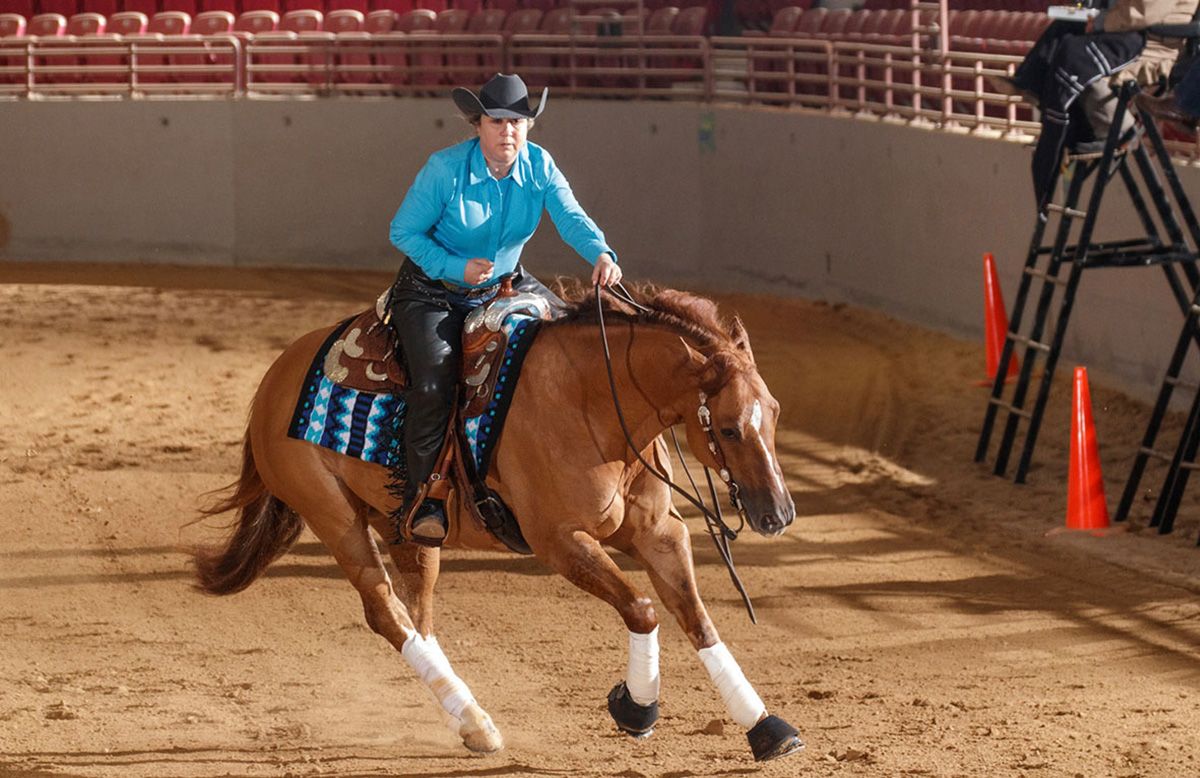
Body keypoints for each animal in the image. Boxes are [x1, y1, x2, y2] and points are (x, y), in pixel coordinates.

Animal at [192, 282, 803, 762]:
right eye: (728, 427)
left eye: (774, 412)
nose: (777, 513)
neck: (592, 400)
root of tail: (277, 375)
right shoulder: (559, 542)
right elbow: (643, 609)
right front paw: (636, 709)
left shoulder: (659, 534)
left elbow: (697, 619)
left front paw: (766, 728)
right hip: (334, 517)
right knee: (386, 613)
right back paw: (474, 719)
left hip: (407, 530)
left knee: (419, 619)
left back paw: (469, 720)